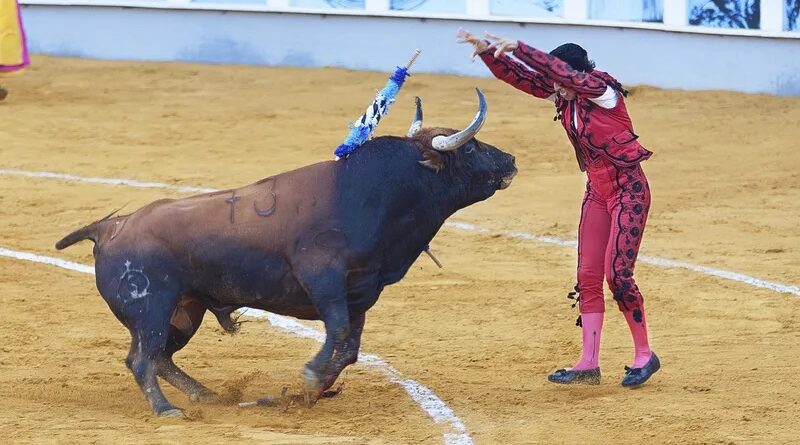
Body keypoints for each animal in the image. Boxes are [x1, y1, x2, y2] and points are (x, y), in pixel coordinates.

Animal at [57, 88, 520, 414]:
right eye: (472, 147)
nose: (512, 160)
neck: (378, 194)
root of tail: (111, 227)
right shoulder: (323, 279)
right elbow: (338, 334)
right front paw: (311, 380)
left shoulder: (360, 292)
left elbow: (350, 347)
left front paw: (308, 391)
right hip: (152, 310)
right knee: (141, 359)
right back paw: (167, 409)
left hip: (186, 311)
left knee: (161, 358)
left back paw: (209, 396)